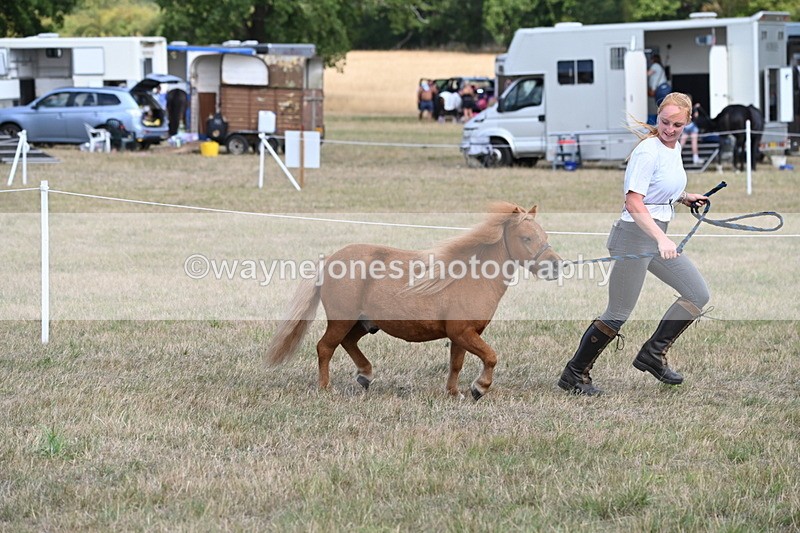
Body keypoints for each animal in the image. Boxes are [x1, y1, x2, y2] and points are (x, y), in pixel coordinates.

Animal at [265, 202, 562, 400]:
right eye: (526, 237)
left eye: (545, 235)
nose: (556, 266)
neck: (471, 276)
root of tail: (330, 260)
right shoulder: (463, 333)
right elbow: (491, 357)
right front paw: (479, 388)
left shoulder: (461, 335)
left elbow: (456, 363)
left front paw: (453, 392)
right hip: (342, 320)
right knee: (325, 347)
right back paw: (326, 387)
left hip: (362, 323)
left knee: (348, 343)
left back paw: (365, 375)